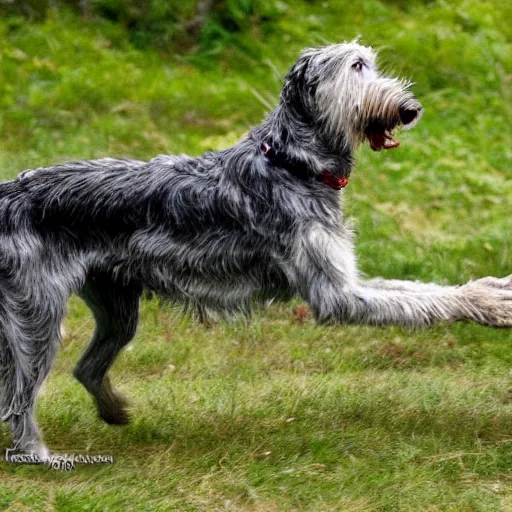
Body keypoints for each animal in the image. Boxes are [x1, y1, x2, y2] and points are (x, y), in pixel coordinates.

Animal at [1, 43, 512, 460]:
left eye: (373, 62)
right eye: (356, 65)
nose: (411, 108)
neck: (292, 163)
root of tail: (8, 193)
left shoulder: (350, 279)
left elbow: (420, 290)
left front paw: (489, 290)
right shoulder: (338, 295)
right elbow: (427, 301)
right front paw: (486, 302)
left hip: (118, 311)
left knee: (86, 369)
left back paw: (114, 411)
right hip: (38, 322)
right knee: (18, 401)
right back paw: (41, 455)